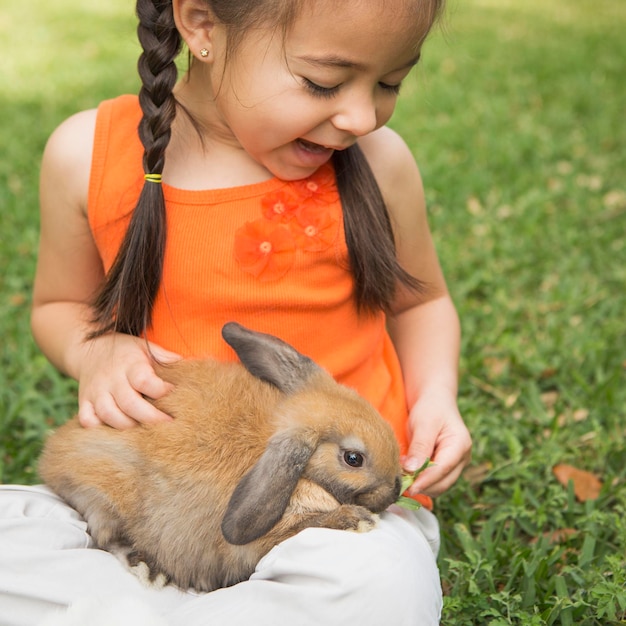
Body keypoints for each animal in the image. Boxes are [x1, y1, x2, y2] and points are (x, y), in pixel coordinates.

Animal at [39, 322, 402, 588]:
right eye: (353, 458)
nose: (396, 490)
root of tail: (52, 456)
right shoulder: (264, 538)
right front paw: (357, 520)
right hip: (104, 490)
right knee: (107, 533)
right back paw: (149, 569)